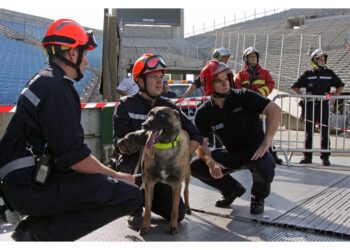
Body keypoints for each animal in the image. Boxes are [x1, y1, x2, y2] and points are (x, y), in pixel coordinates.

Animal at [116, 106, 190, 235]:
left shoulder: (176, 185)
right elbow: (148, 210)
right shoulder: (149, 183)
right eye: (149, 114)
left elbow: (175, 210)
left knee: (186, 191)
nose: (144, 124)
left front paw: (173, 226)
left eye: (162, 115)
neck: (164, 148)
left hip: (186, 177)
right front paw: (145, 226)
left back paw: (188, 208)